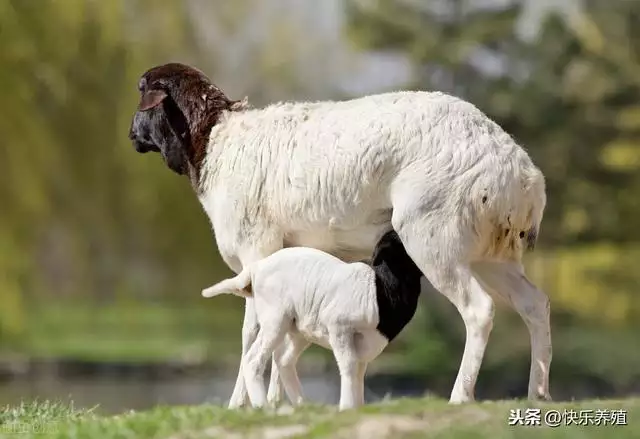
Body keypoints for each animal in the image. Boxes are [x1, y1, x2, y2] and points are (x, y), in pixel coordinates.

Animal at [202, 232, 424, 410]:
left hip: (299, 330)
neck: (379, 288)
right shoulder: (339, 328)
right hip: (275, 321)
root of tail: (256, 268)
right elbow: (349, 365)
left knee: (283, 360)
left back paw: (303, 405)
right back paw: (263, 407)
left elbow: (359, 373)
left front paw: (357, 408)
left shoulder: (364, 346)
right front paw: (346, 408)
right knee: (253, 360)